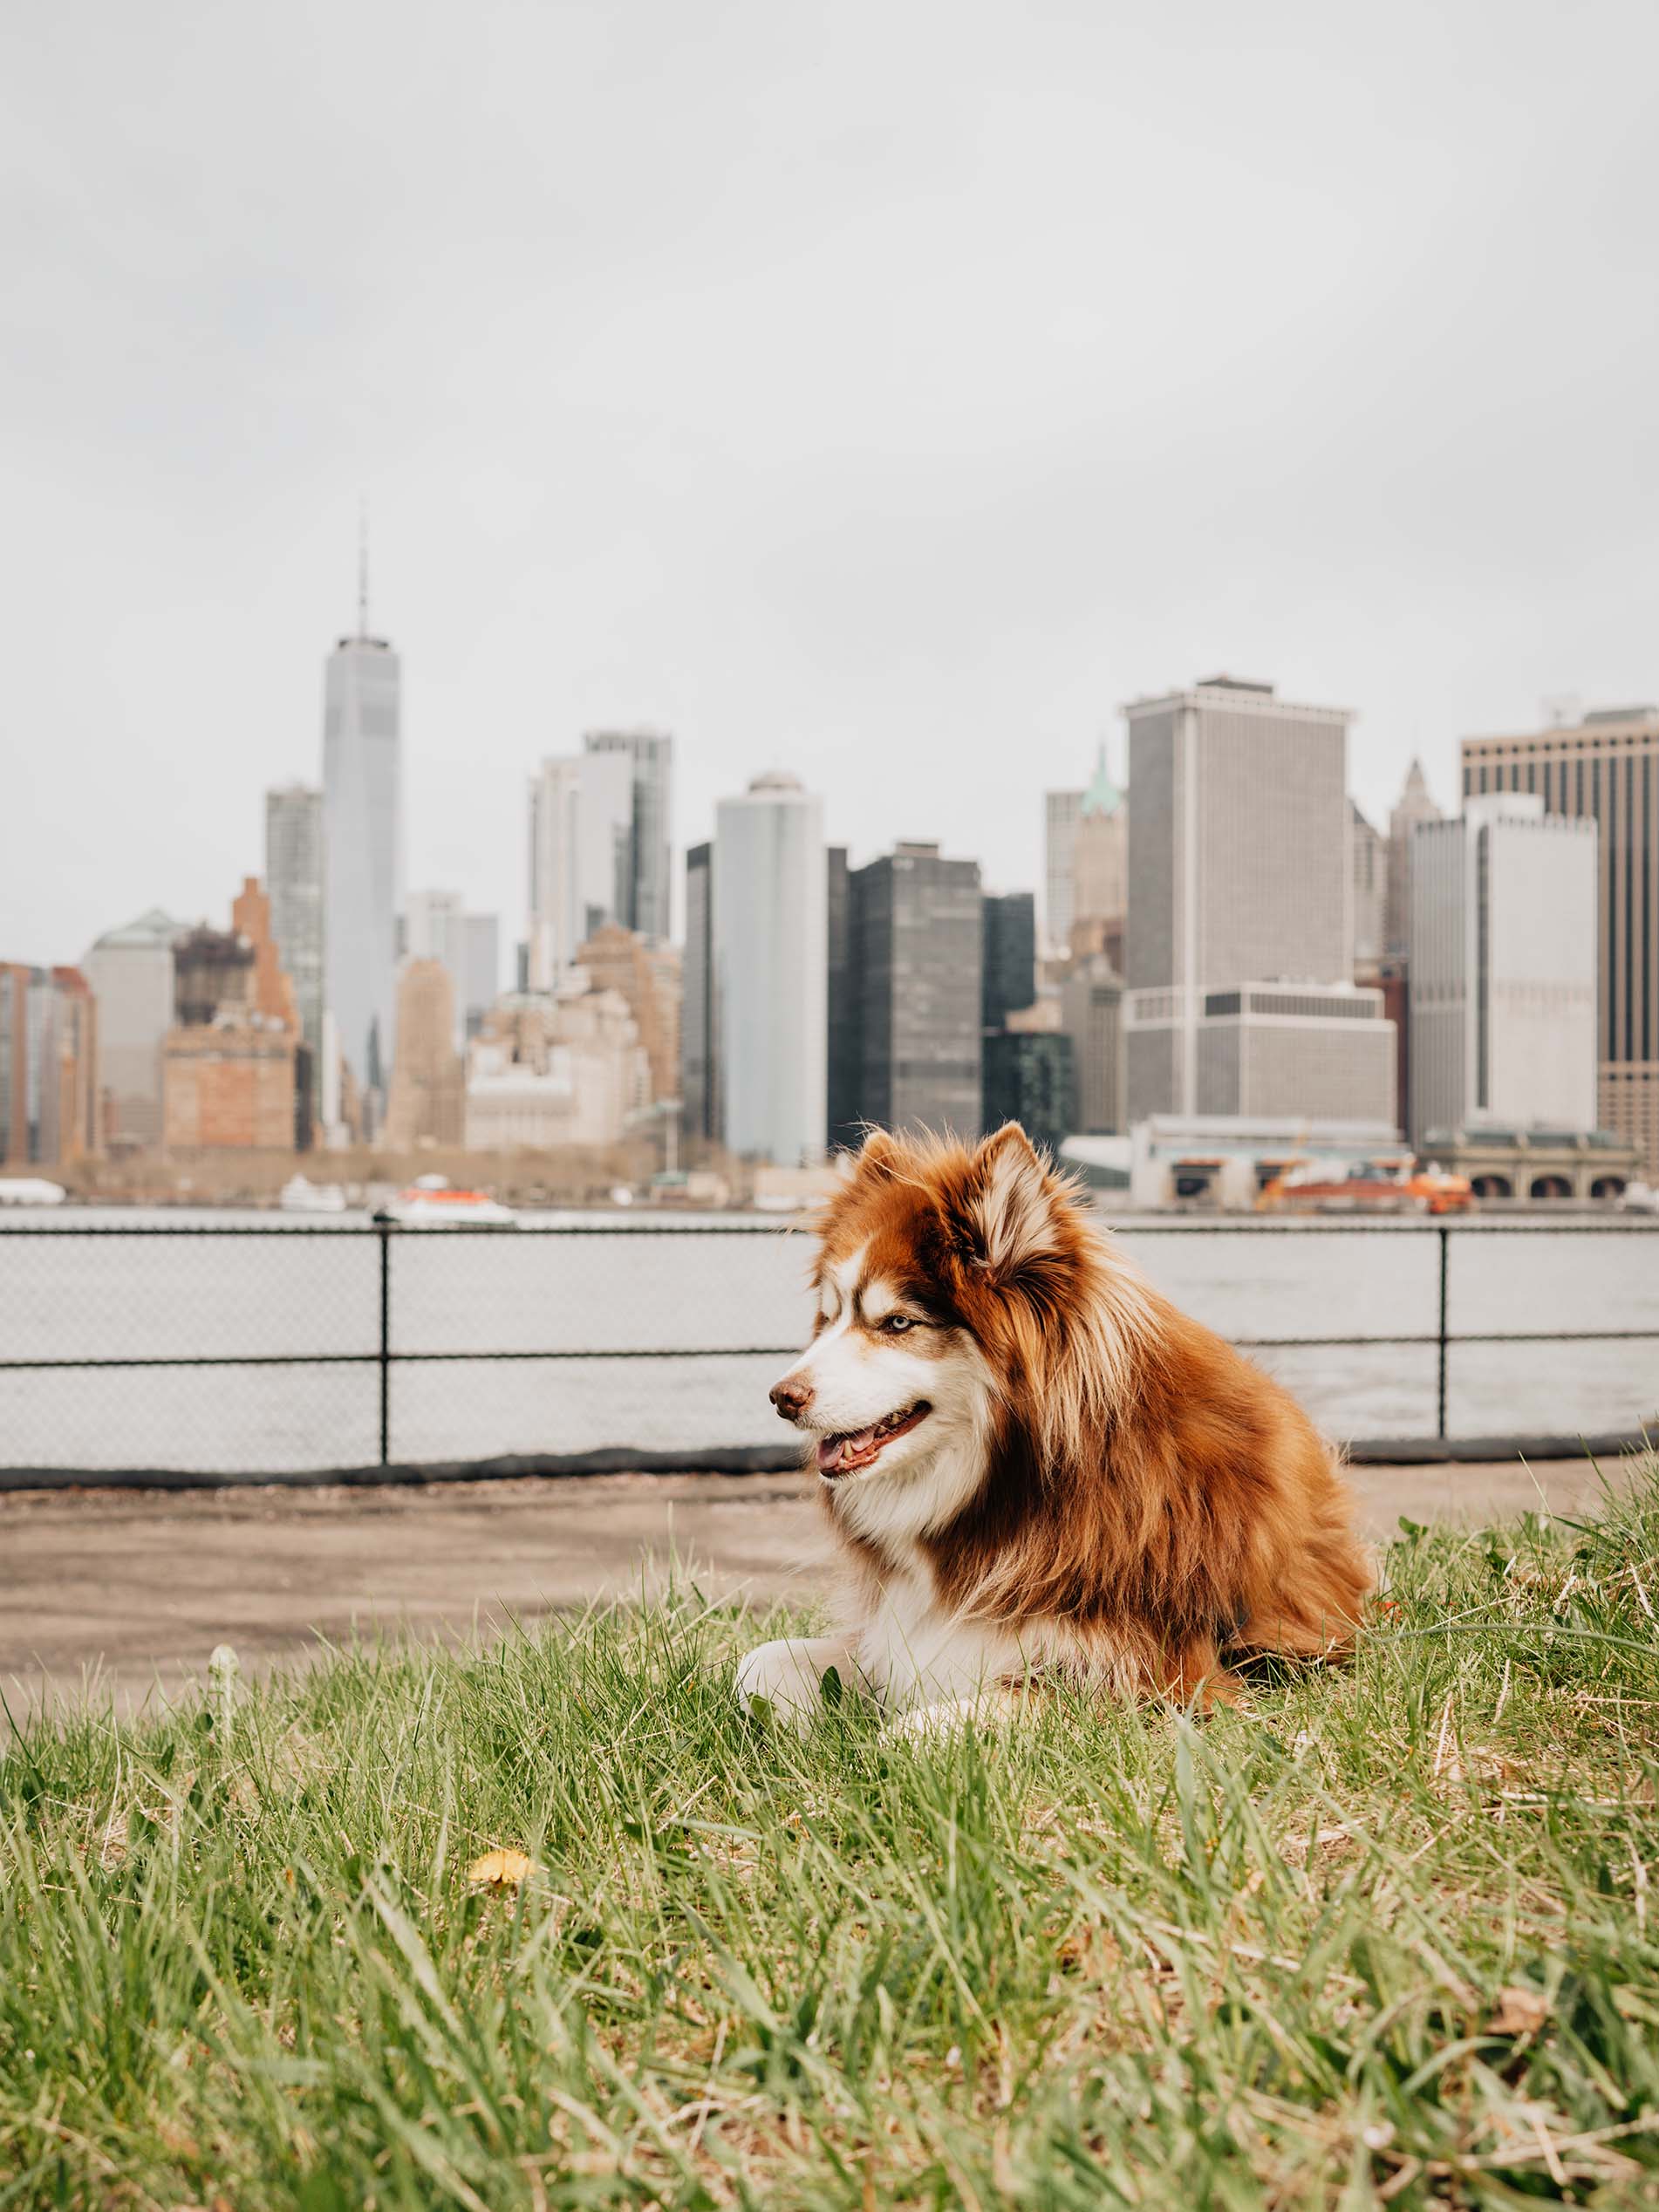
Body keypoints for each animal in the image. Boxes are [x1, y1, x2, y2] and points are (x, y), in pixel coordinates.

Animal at [734, 1123, 1371, 1725]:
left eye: (896, 1322)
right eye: (832, 1317)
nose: (781, 1398)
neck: (1011, 1487)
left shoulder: (1155, 1676)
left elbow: (919, 1733)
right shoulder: (899, 1634)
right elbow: (756, 1667)